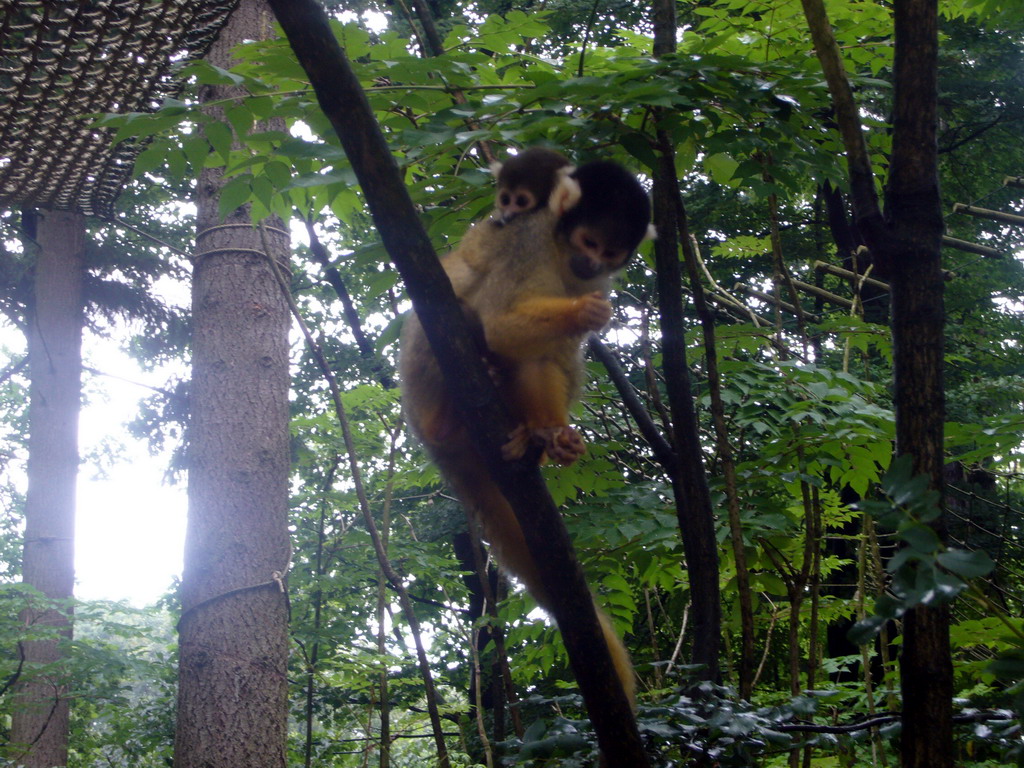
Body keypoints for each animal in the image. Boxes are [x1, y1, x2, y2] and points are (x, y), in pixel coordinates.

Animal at [395, 159, 651, 708]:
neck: (558, 250)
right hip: (421, 388)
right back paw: (452, 414)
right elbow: (499, 322)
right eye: (588, 241)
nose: (589, 264)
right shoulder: (526, 242)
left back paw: (535, 434)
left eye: (610, 253)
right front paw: (581, 314)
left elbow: (552, 354)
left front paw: (554, 433)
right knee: (455, 308)